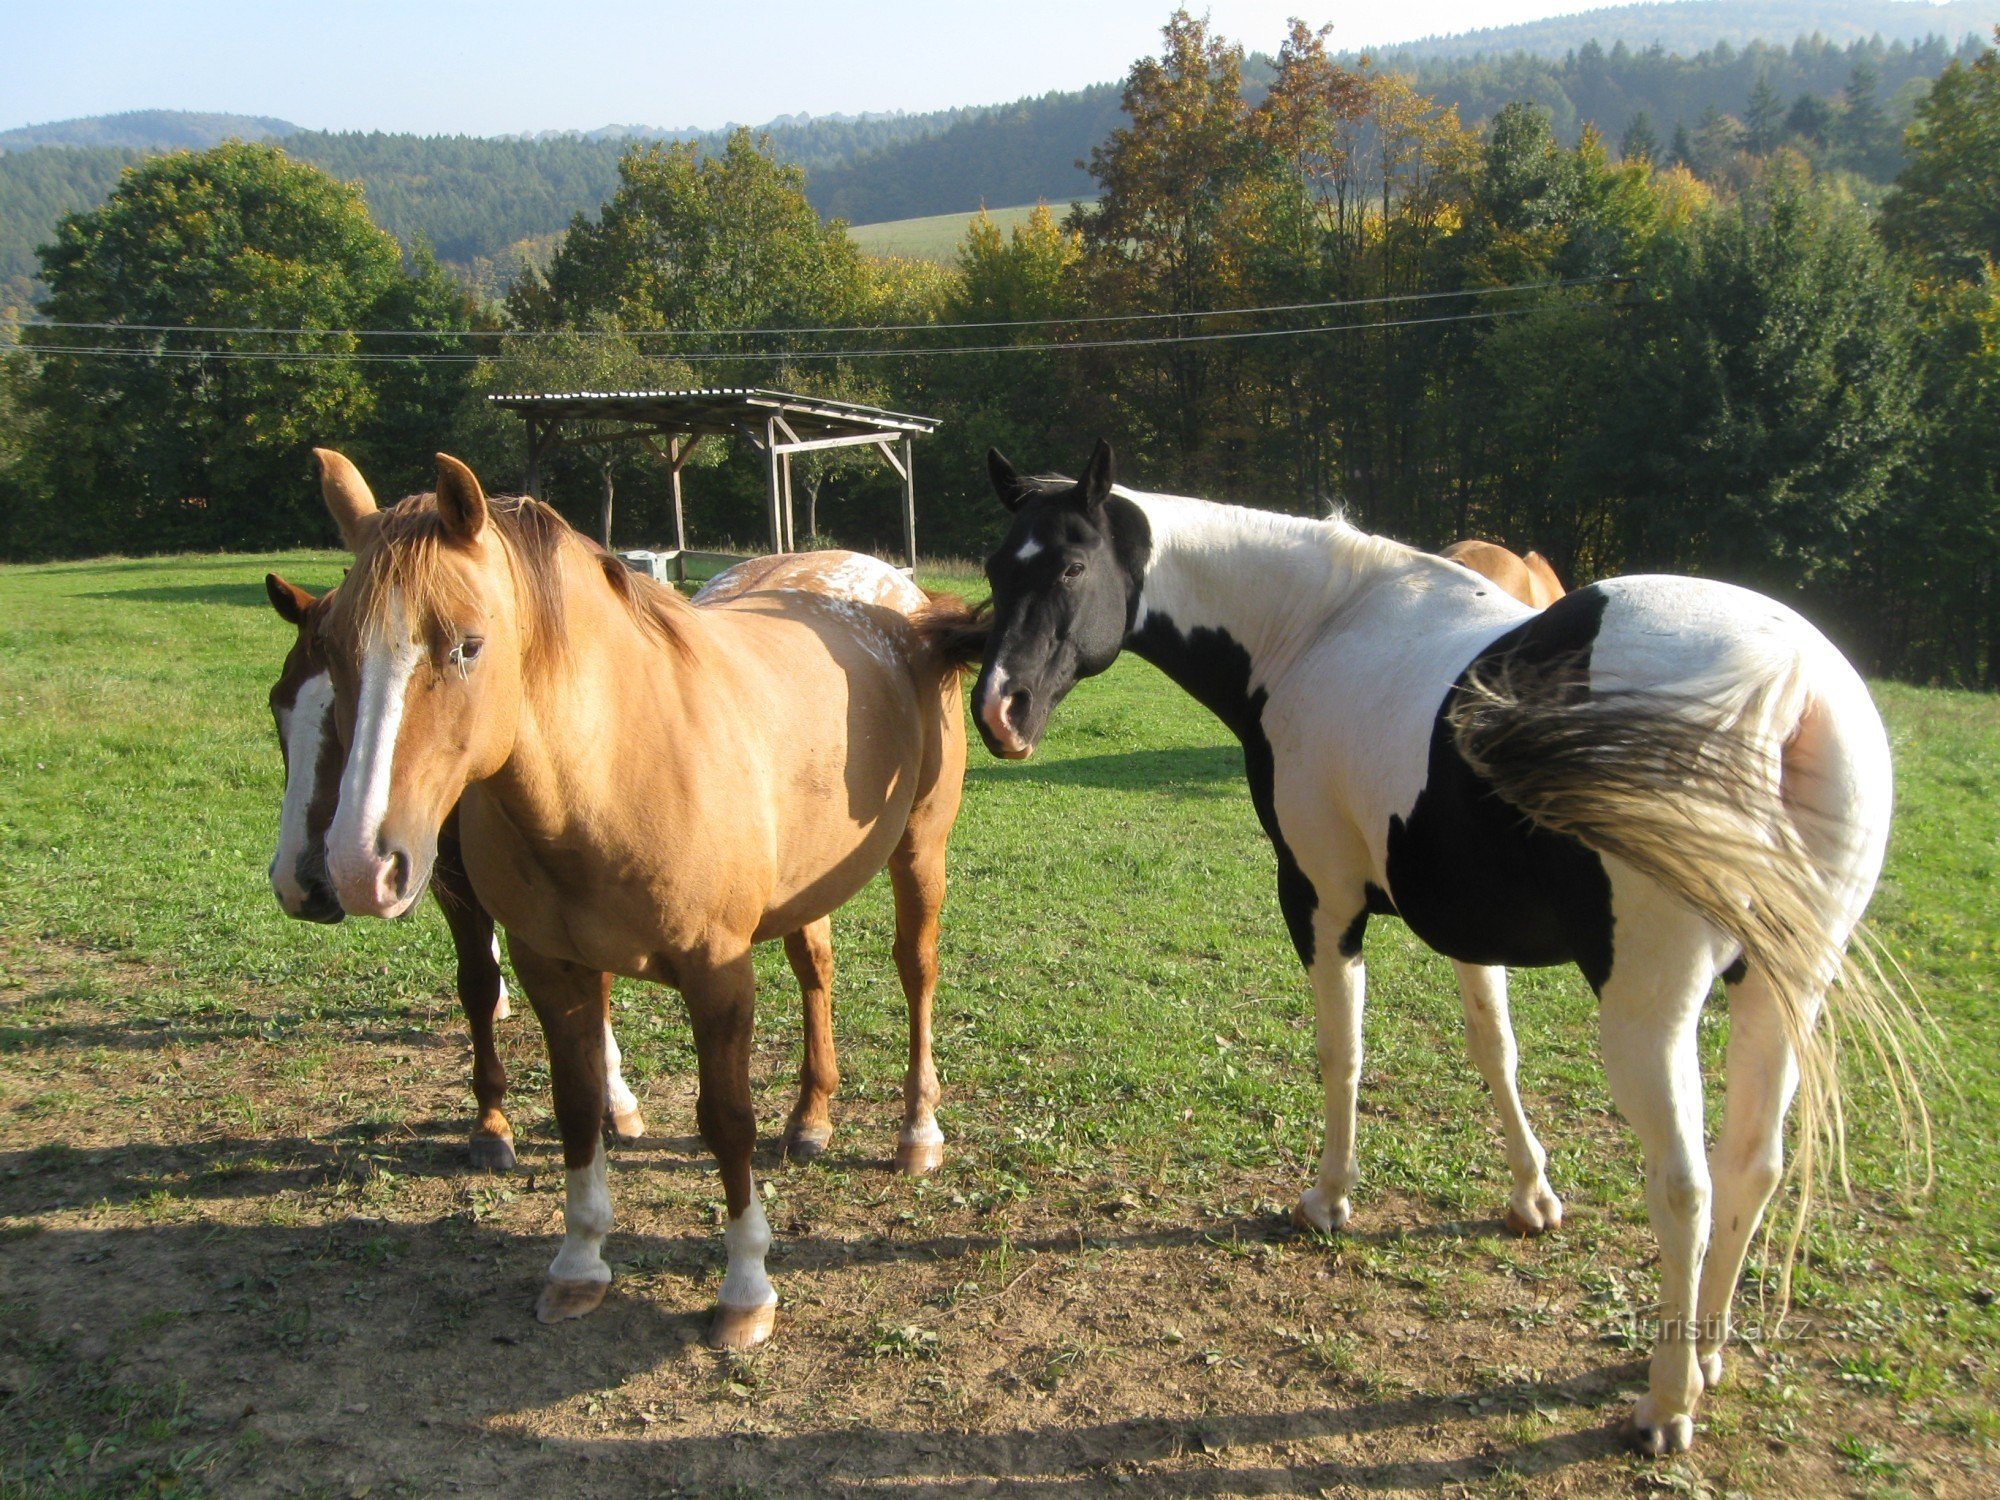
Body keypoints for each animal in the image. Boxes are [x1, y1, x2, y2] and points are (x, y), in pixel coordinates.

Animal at [306, 452, 984, 1360]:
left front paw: (745, 1291)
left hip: (919, 852)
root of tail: (895, 591)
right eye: (334, 648)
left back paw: (917, 1135)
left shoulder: (716, 975)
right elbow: (578, 1107)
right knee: (817, 969)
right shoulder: (553, 968)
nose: (359, 863)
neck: (615, 760)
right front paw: (579, 1263)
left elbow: (725, 1119)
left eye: (467, 645)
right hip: (807, 885)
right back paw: (811, 1118)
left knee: (917, 974)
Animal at [976, 444, 1912, 1456]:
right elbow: (1495, 1050)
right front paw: (1532, 1197)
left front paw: (1329, 1200)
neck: (1317, 625)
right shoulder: (1468, 921)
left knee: (1686, 1188)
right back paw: (1703, 1356)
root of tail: (1786, 679)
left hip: (1651, 1012)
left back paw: (1667, 1403)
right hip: (1780, 990)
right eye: (995, 569)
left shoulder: (1321, 900)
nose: (999, 711)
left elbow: (1342, 1054)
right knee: (1752, 1167)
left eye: (1072, 565)